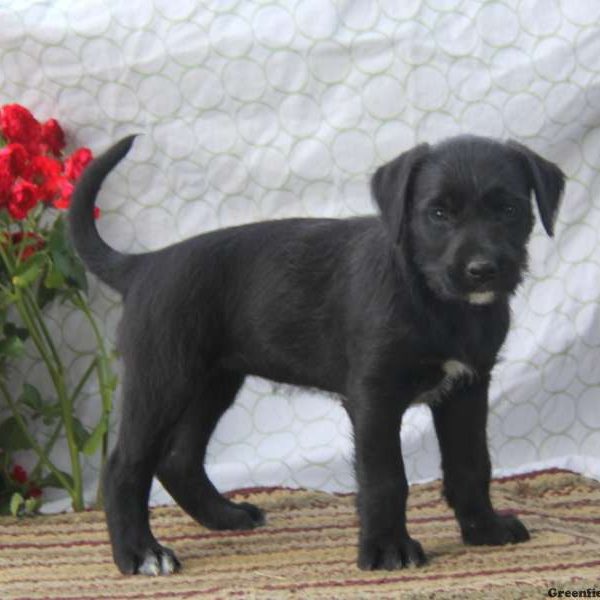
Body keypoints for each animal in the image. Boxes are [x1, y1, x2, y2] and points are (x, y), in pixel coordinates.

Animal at [69, 134, 564, 576]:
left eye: (509, 209)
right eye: (439, 212)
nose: (482, 270)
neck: (435, 300)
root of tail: (144, 265)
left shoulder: (467, 389)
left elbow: (471, 463)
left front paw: (484, 530)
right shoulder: (374, 398)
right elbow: (385, 477)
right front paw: (388, 549)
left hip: (213, 382)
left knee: (179, 460)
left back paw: (225, 517)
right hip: (162, 380)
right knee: (124, 467)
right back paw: (141, 554)